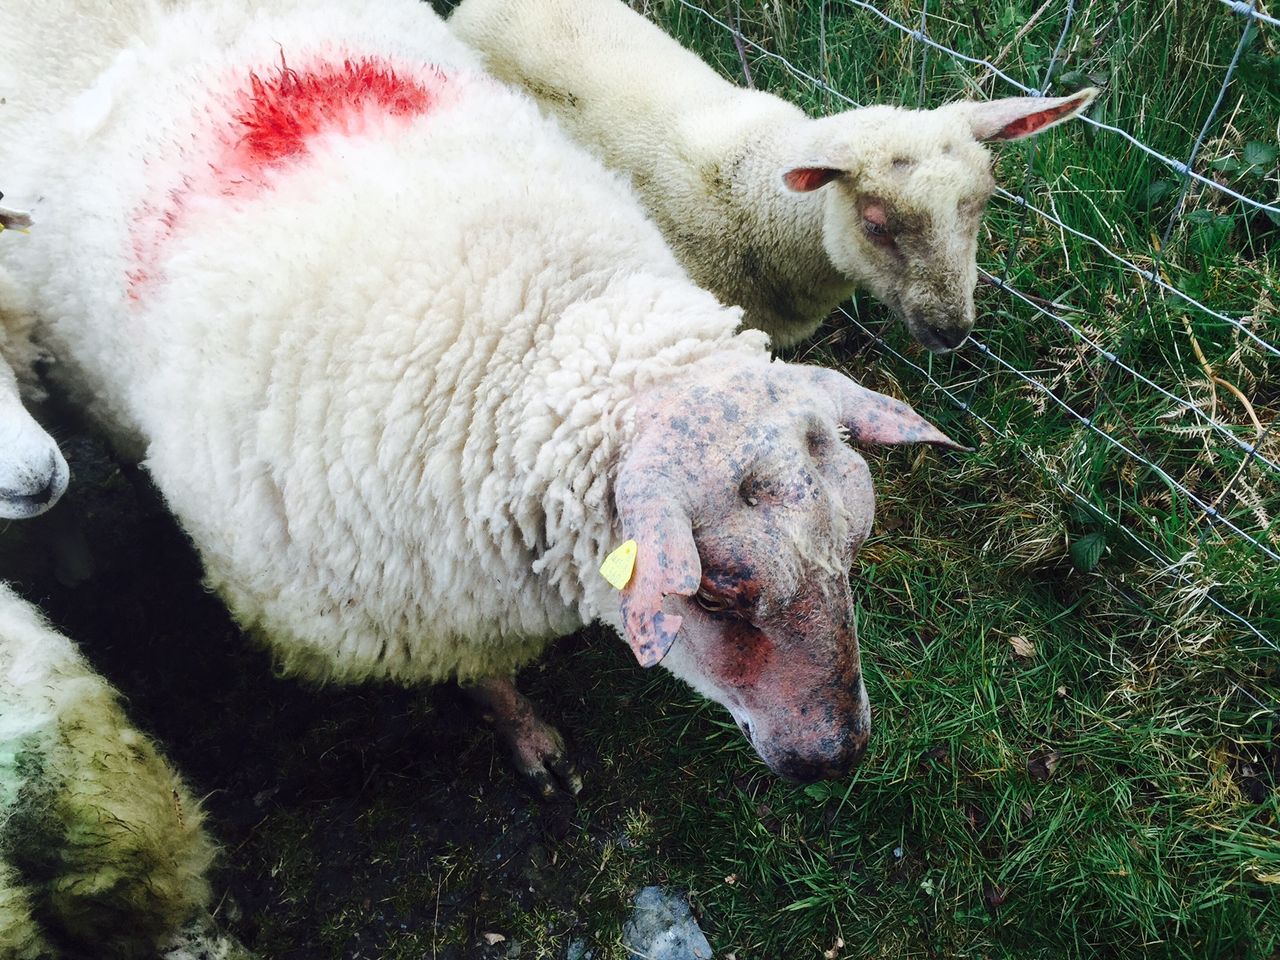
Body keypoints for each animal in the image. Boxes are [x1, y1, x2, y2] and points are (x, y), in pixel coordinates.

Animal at [0, 0, 962, 791]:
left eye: (856, 543)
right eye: (718, 591)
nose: (837, 757)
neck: (531, 332)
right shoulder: (413, 602)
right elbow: (479, 676)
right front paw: (529, 740)